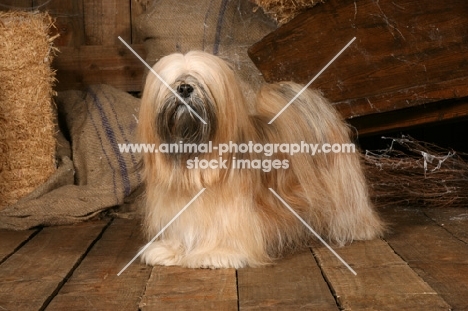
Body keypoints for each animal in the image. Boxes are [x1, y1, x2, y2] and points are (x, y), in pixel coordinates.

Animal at [136, 51, 384, 270]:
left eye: (201, 80)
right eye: (174, 80)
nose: (185, 88)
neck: (193, 159)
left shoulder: (232, 210)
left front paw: (215, 253)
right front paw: (170, 249)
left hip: (341, 189)